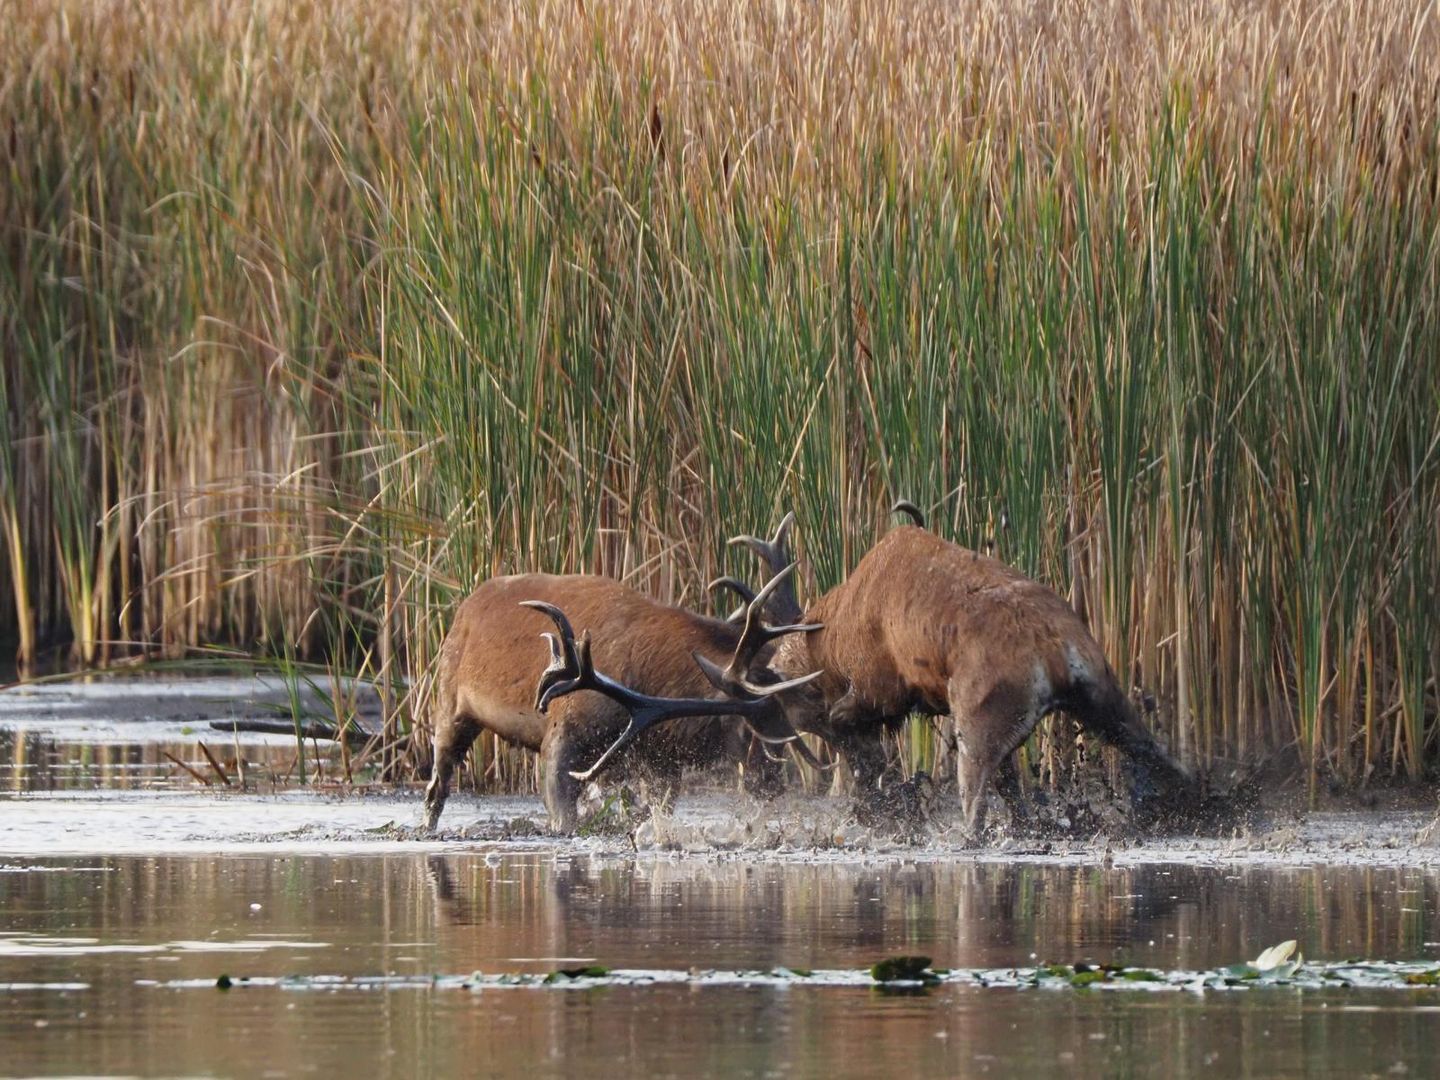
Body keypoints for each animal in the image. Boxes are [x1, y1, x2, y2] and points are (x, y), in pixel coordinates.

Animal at [420, 567, 823, 835]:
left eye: (788, 729)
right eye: (749, 729)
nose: (772, 786)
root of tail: (464, 606)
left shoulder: (658, 757)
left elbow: (654, 808)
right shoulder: (563, 730)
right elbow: (563, 814)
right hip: (449, 699)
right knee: (436, 783)